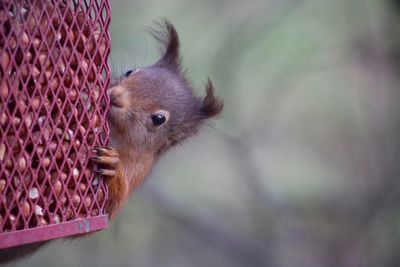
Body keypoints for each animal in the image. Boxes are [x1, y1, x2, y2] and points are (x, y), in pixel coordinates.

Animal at [0, 19, 222, 264]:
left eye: (158, 119)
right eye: (129, 71)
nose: (116, 96)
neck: (116, 134)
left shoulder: (137, 171)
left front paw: (112, 167)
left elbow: (105, 209)